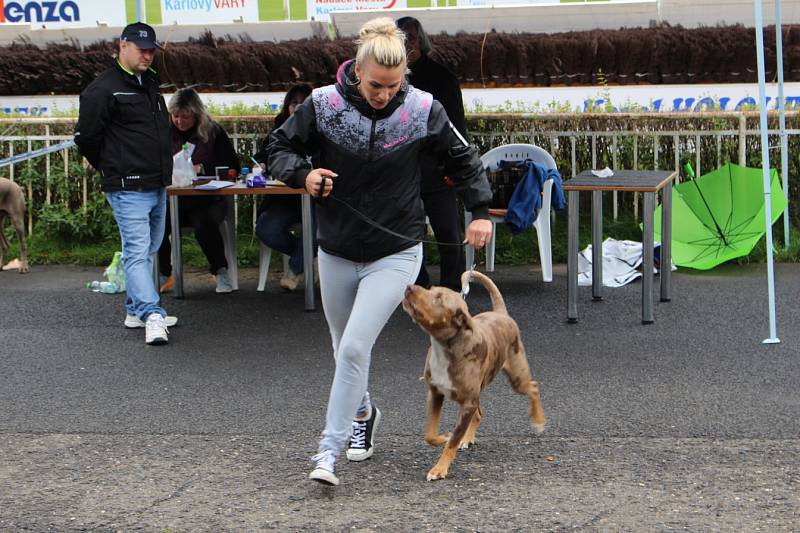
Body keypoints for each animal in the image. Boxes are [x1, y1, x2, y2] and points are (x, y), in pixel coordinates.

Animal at [404, 272, 548, 480]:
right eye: (430, 289)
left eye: (439, 298)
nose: (409, 287)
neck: (446, 348)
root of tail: (501, 313)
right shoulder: (435, 393)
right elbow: (430, 434)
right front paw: (443, 437)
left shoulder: (467, 402)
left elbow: (452, 441)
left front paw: (439, 468)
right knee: (479, 413)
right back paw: (468, 438)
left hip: (516, 376)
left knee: (533, 387)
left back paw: (538, 422)